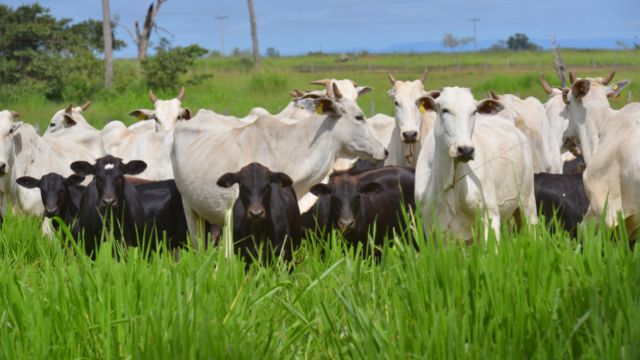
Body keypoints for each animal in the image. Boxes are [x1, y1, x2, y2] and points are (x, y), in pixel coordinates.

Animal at [412, 87, 536, 242]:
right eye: (445, 110)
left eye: (474, 111)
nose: (466, 150)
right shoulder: (431, 228)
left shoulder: (490, 217)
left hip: (527, 202)